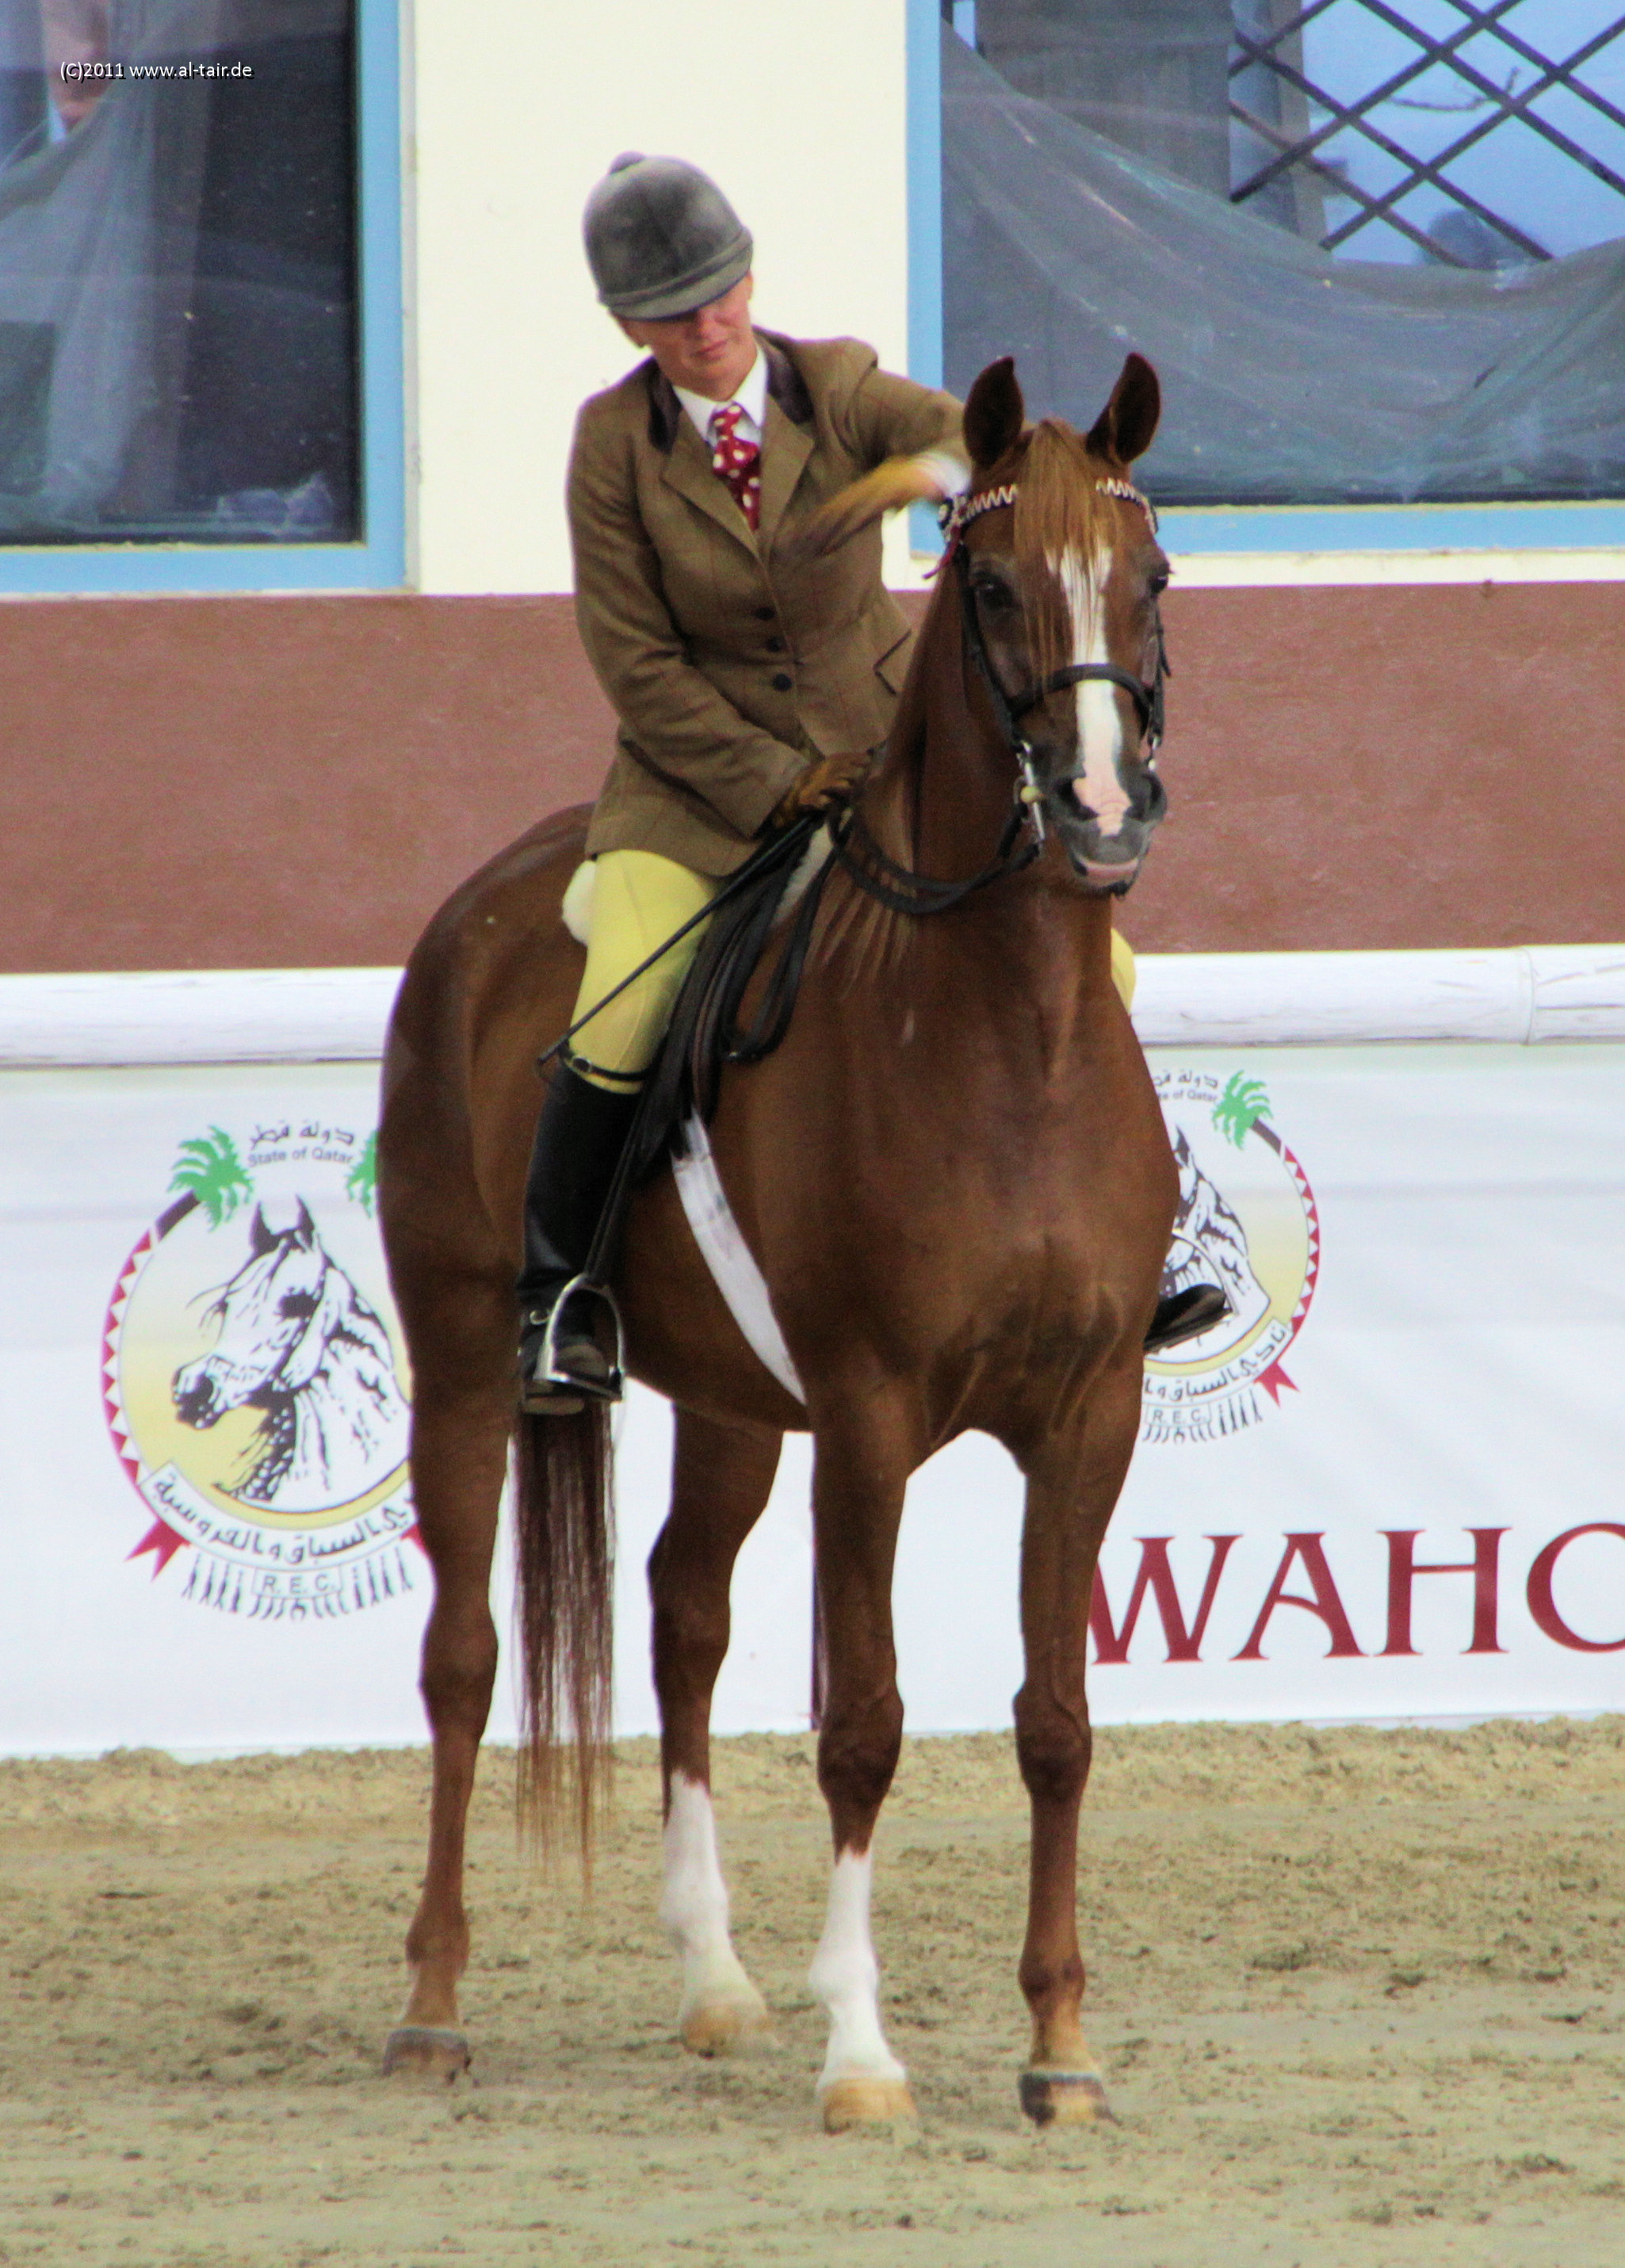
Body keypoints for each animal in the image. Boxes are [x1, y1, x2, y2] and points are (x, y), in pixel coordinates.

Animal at [376, 351, 1178, 2129]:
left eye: (1151, 577)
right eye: (992, 585)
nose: (1102, 814)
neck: (1008, 1034)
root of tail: (476, 907)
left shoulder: (1089, 1413)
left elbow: (1056, 1720)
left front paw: (1060, 2049)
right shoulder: (870, 1420)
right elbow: (862, 1721)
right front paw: (863, 2051)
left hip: (734, 1401)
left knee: (682, 1614)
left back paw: (713, 1977)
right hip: (461, 1356)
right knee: (461, 1658)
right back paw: (434, 2006)